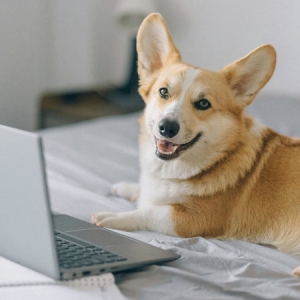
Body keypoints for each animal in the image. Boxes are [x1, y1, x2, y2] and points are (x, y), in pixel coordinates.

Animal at [92, 14, 300, 276]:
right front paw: (127, 188)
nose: (167, 127)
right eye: (163, 92)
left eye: (203, 104)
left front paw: (112, 216)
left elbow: (149, 211)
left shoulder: (192, 220)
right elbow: (145, 192)